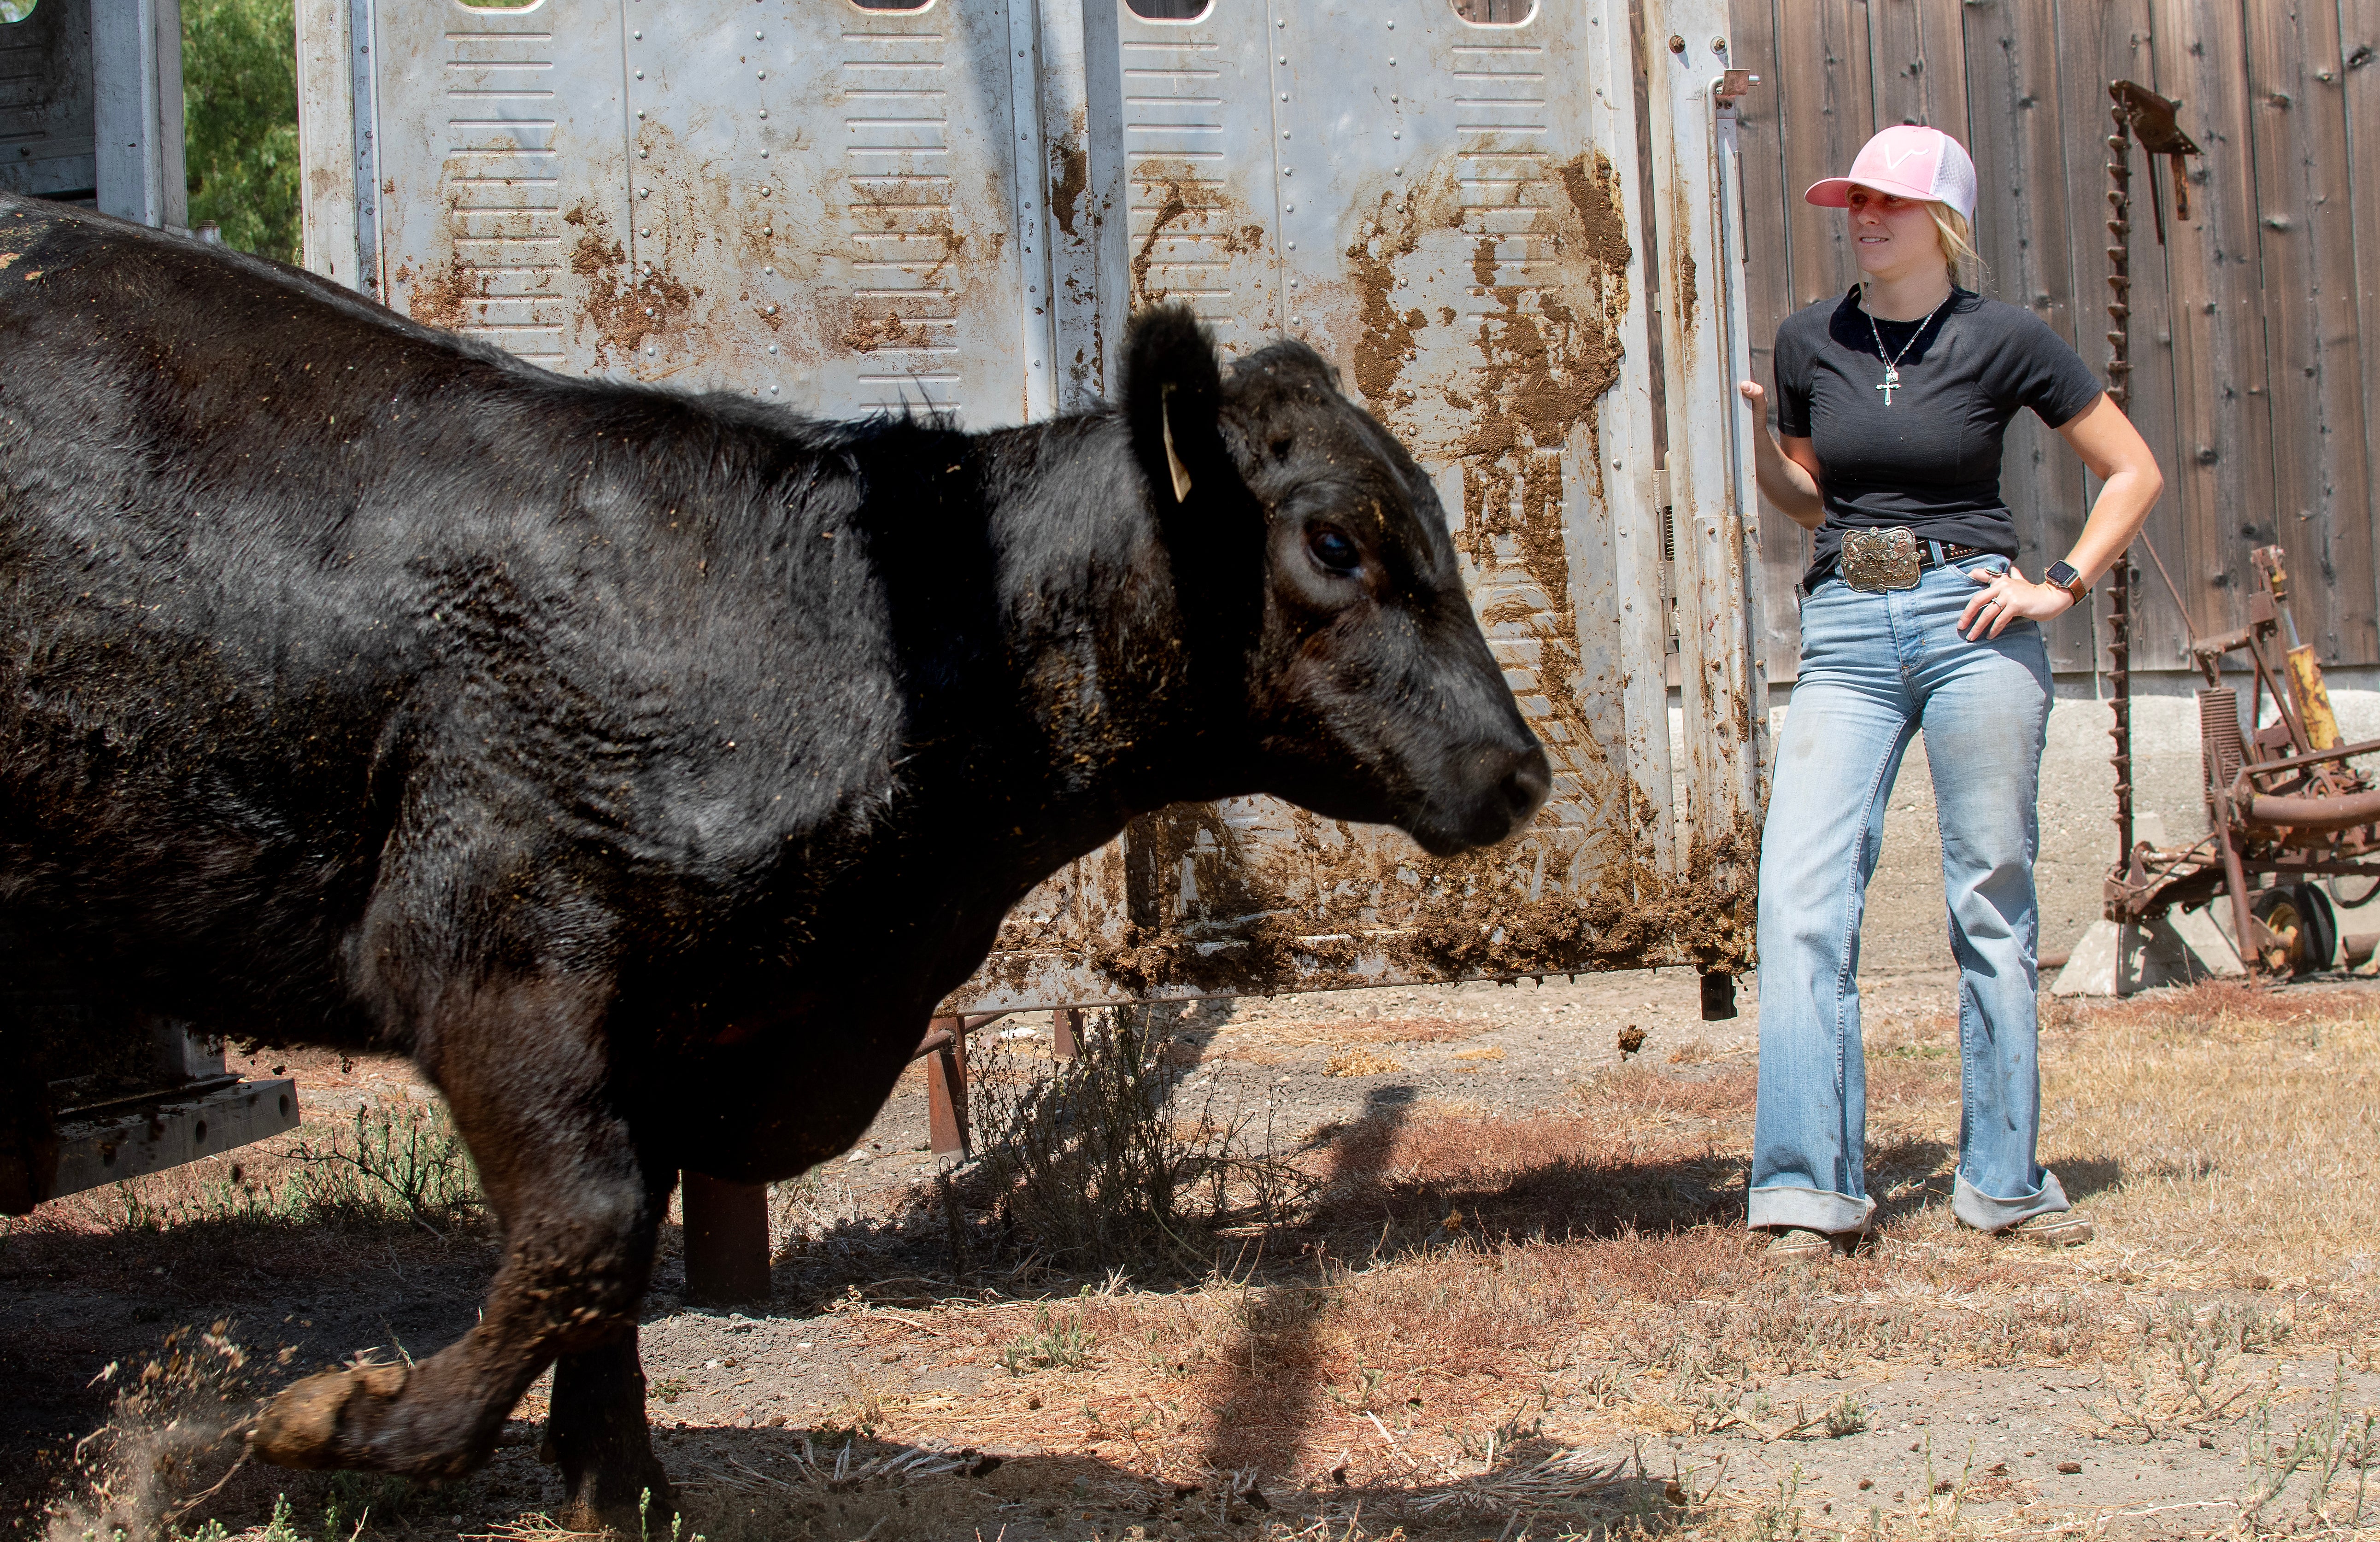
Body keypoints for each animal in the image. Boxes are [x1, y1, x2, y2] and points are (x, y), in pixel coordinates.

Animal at [0, 192, 1548, 1531]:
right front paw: (329, 1422)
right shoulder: (490, 952)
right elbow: (587, 1228)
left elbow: (607, 1275)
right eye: (1334, 542)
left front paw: (620, 1490)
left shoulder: (677, 1030)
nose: (1516, 769)